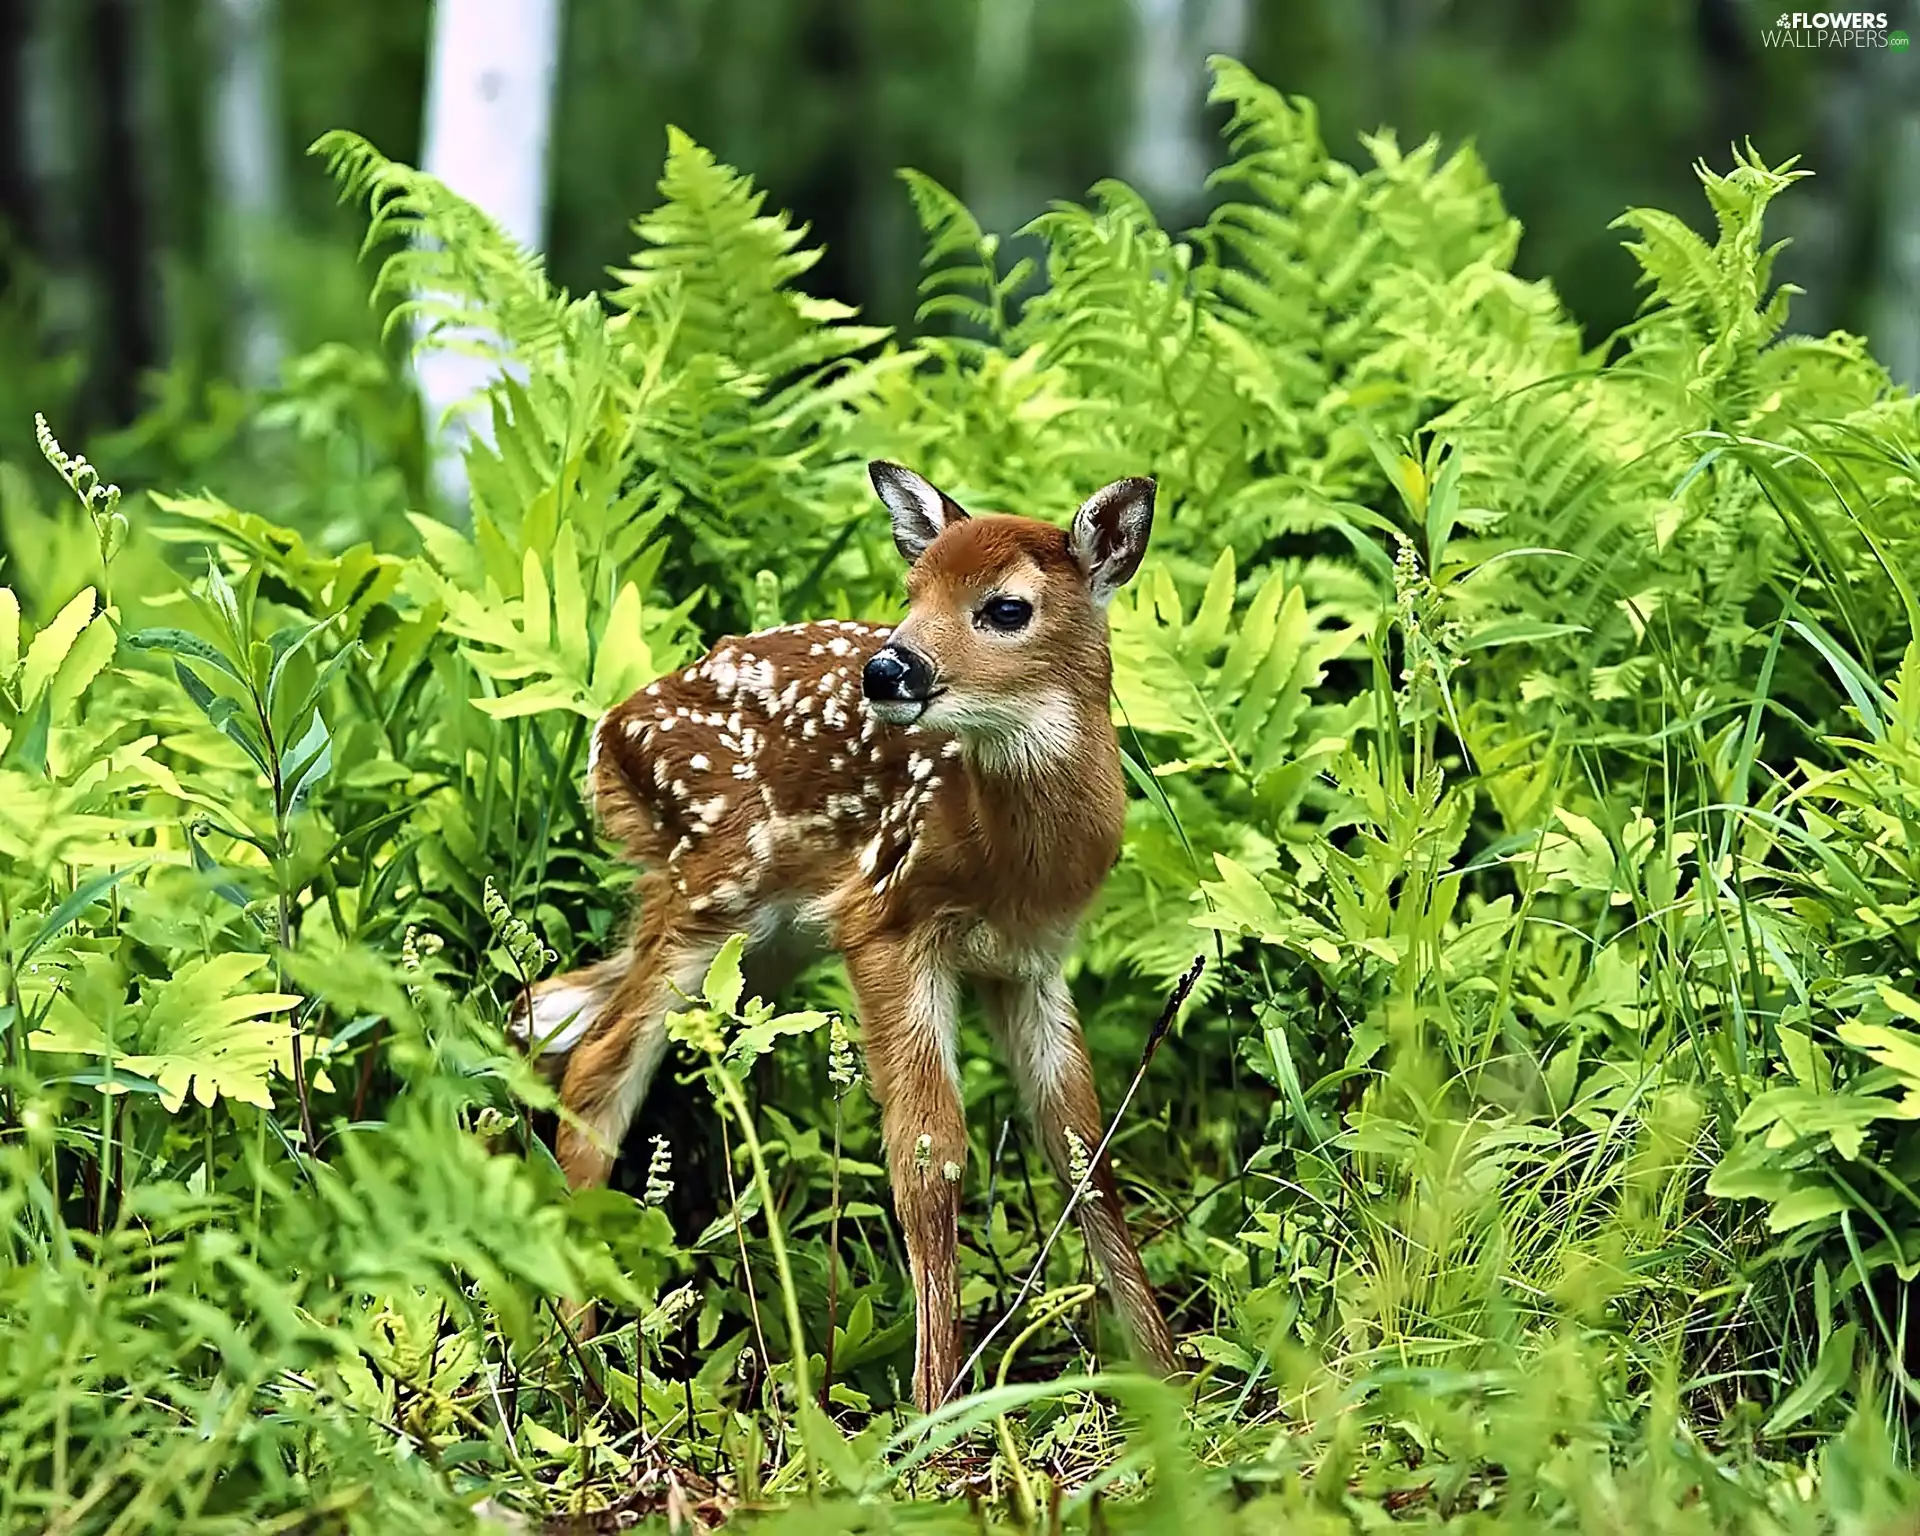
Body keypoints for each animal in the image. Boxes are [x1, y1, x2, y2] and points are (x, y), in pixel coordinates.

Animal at [511, 461, 1180, 1413]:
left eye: (1006, 608)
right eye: (912, 590)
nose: (890, 667)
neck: (1005, 860)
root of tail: (606, 734)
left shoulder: (1033, 962)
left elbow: (1082, 1146)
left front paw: (1170, 1376)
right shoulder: (887, 924)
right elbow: (930, 1158)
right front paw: (937, 1408)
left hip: (761, 938)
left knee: (552, 1007)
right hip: (712, 886)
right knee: (600, 1063)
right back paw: (578, 1358)